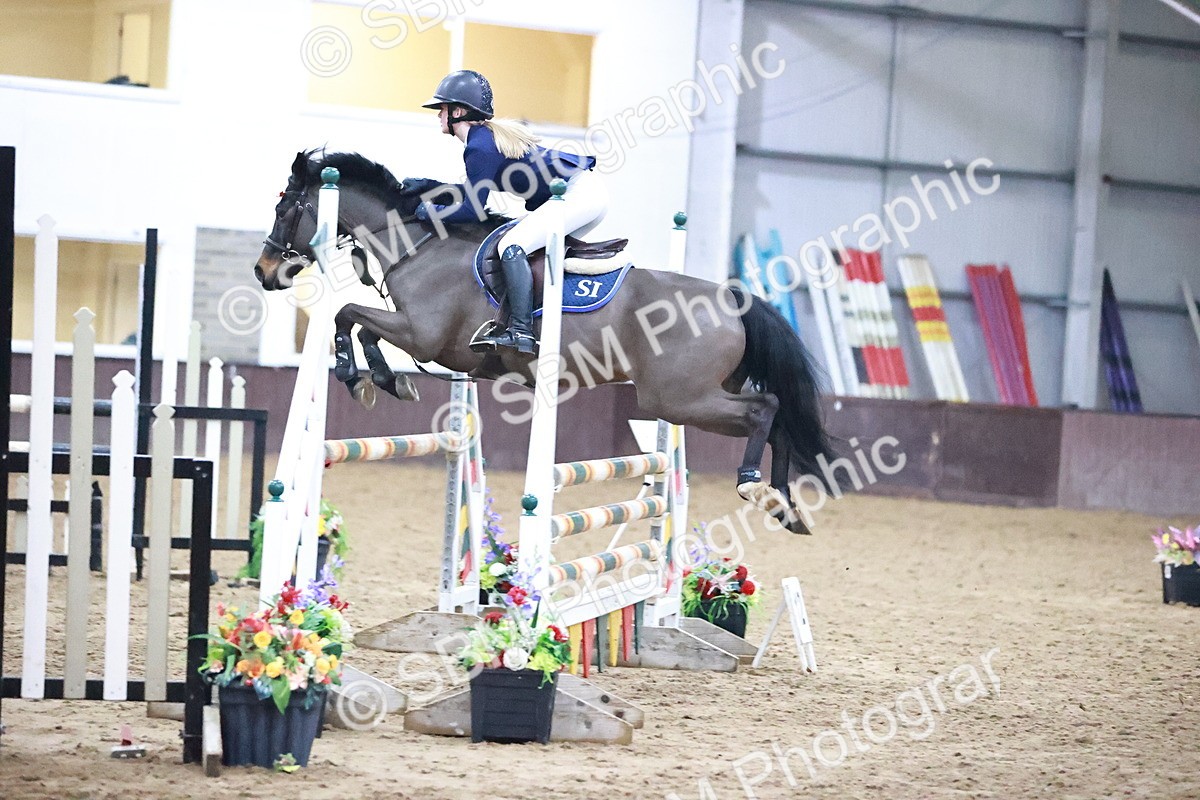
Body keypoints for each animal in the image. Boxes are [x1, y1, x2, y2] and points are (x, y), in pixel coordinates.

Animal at [252, 150, 834, 534]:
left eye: (283, 208)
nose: (264, 271)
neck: (419, 246)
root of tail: (732, 298)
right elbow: (355, 322)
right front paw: (381, 380)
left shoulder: (423, 336)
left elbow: (348, 316)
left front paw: (363, 377)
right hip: (695, 395)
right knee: (778, 416)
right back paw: (785, 505)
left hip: (677, 399)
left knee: (765, 408)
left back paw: (755, 485)